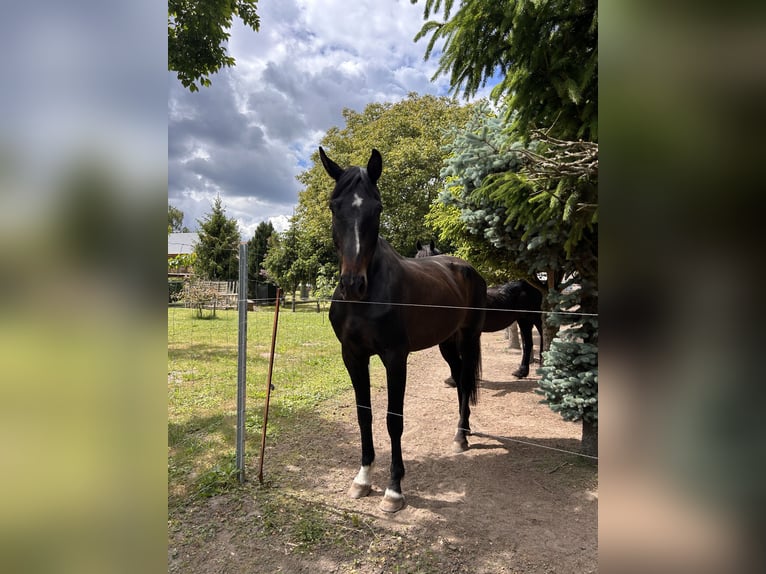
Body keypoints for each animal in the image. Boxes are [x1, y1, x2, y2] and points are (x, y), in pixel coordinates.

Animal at [320, 147, 487, 513]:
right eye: (334, 206)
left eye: (377, 208)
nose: (352, 284)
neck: (367, 299)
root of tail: (466, 268)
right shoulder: (352, 356)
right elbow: (364, 415)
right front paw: (363, 478)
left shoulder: (395, 358)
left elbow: (393, 420)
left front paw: (394, 489)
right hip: (446, 343)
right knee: (459, 380)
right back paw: (462, 431)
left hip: (469, 338)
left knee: (466, 380)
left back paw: (461, 435)